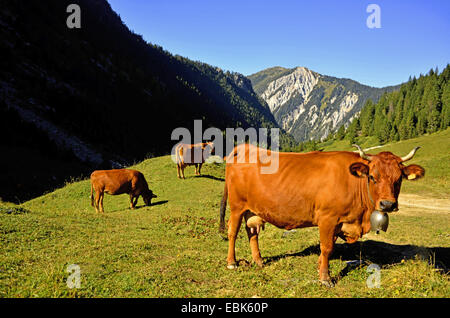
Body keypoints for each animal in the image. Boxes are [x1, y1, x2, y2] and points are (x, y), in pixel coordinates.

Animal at [220, 143, 424, 286]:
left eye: (398, 179)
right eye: (373, 177)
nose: (388, 204)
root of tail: (245, 147)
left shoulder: (337, 223)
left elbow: (329, 246)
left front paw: (320, 267)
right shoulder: (328, 218)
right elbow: (326, 247)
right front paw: (325, 278)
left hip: (252, 210)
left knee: (252, 233)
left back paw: (259, 261)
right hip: (237, 206)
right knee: (233, 232)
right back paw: (232, 262)